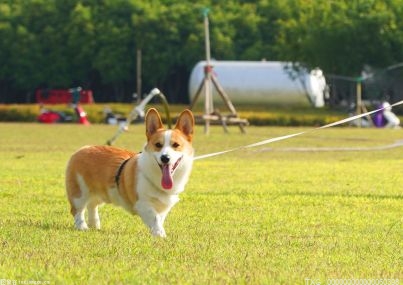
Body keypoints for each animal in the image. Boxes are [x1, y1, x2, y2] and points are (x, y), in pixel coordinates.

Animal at [64, 107, 194, 236]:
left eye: (176, 145)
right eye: (158, 145)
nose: (165, 158)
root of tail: (82, 149)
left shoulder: (163, 208)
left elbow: (159, 220)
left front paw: (157, 233)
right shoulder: (143, 204)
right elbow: (155, 219)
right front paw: (161, 236)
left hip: (100, 193)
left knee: (92, 205)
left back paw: (94, 226)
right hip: (79, 192)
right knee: (77, 210)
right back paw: (82, 227)